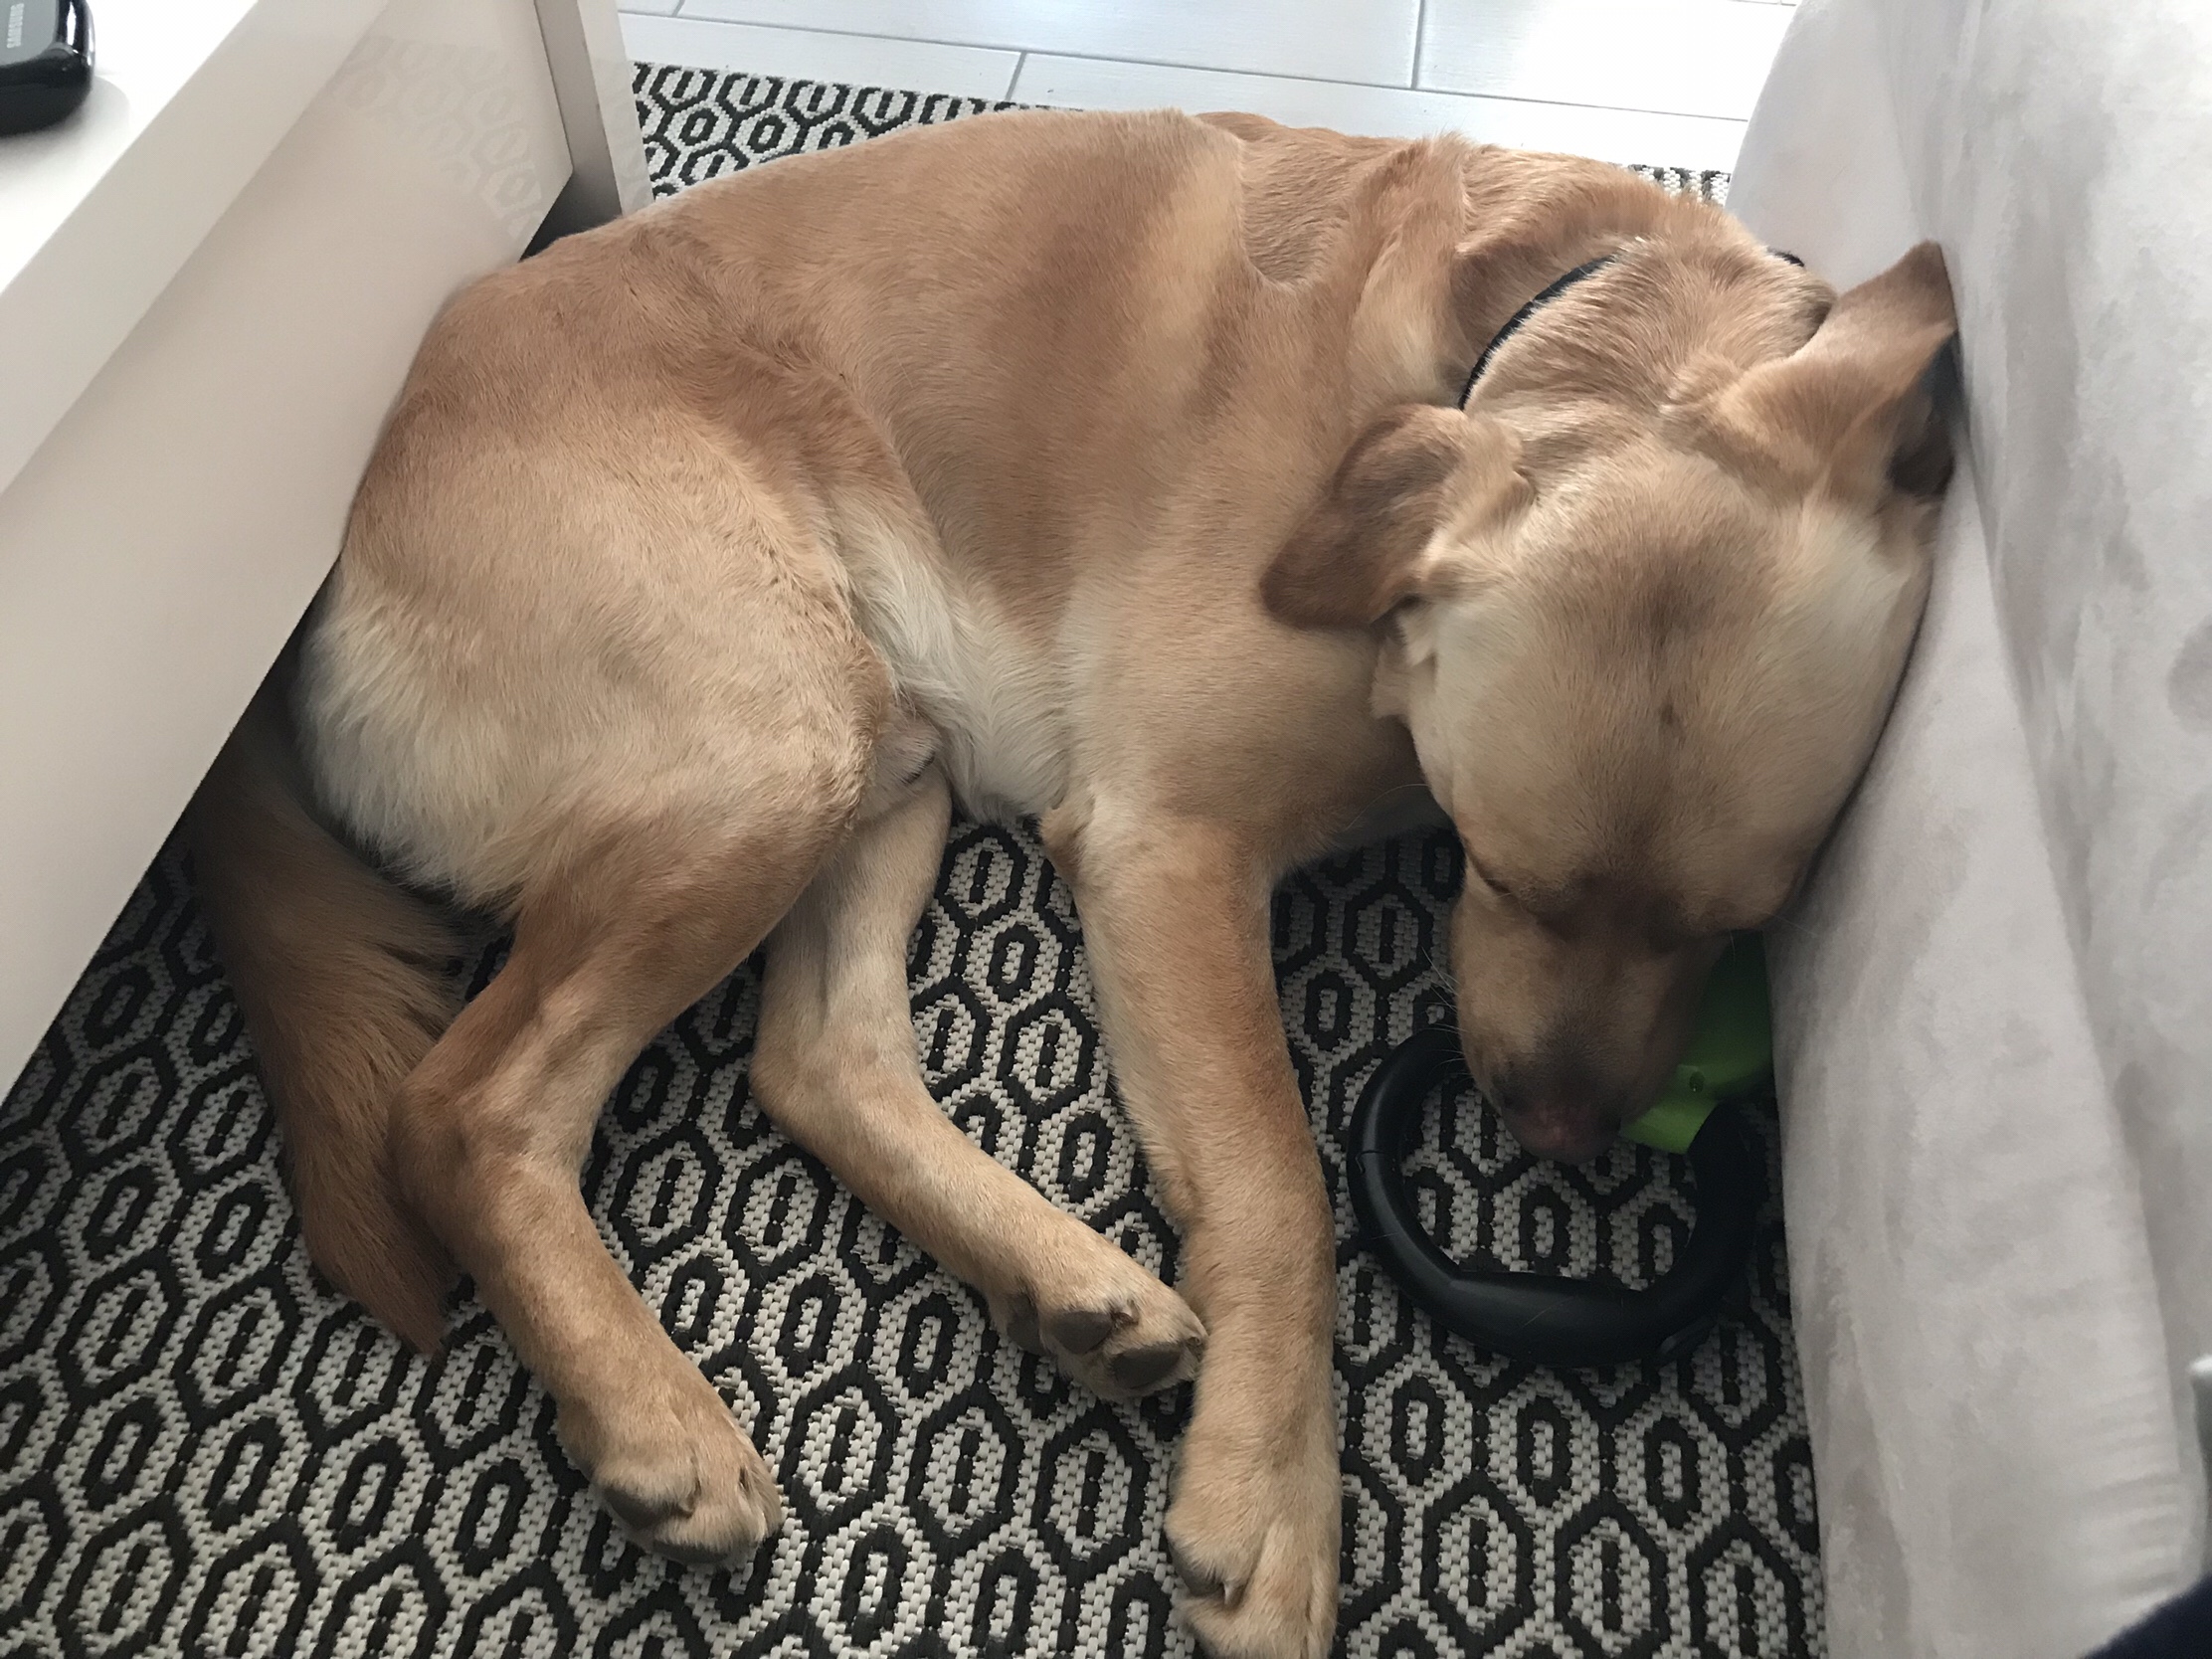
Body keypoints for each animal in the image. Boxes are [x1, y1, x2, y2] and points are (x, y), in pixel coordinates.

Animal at [190, 110, 1955, 1654]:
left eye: (1739, 927)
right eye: (1501, 872)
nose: (1563, 1134)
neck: (1557, 317)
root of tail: (330, 548)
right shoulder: (1167, 839)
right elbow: (1279, 1188)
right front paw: (1276, 1506)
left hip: (881, 751)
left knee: (816, 1062)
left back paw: (1065, 1284)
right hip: (770, 741)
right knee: (469, 1105)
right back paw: (649, 1416)